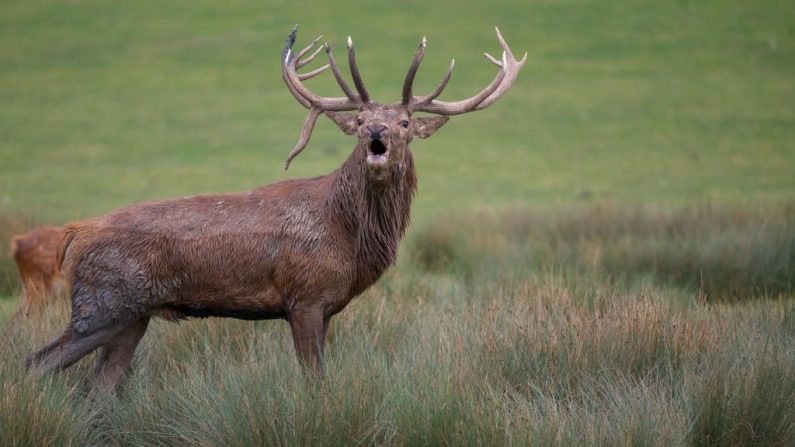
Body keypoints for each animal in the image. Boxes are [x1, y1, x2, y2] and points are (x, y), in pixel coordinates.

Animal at [24, 26, 524, 390]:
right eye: (360, 119)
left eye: (404, 121)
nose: (376, 132)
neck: (349, 236)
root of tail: (75, 233)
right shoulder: (303, 297)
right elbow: (314, 381)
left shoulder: (326, 306)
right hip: (102, 303)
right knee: (37, 362)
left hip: (131, 316)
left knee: (99, 388)